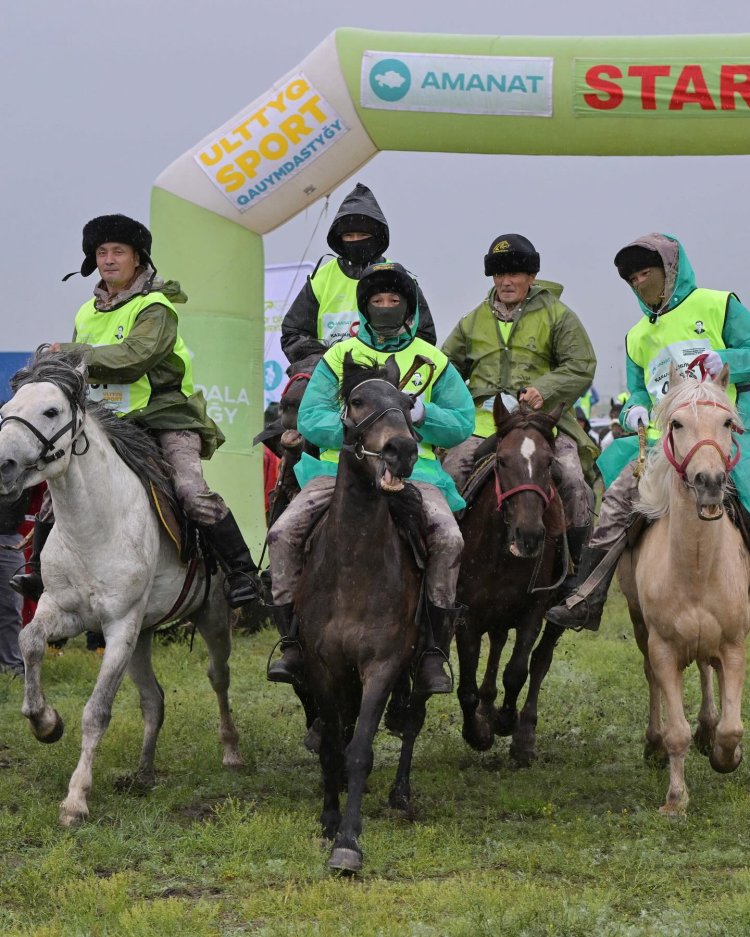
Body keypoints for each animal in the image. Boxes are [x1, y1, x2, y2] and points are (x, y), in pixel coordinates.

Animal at [0, 352, 244, 828]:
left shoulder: (119, 628)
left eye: (51, 411)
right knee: (154, 700)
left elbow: (96, 713)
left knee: (218, 678)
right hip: (144, 637)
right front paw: (46, 724)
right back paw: (143, 774)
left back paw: (230, 751)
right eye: (5, 410)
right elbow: (30, 641)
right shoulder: (65, 611)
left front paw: (75, 800)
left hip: (210, 617)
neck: (95, 525)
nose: (4, 466)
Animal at [296, 354, 432, 872]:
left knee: (412, 719)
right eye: (357, 401)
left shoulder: (383, 663)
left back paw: (400, 791)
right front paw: (329, 818)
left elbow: (358, 749)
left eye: (408, 404)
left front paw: (348, 841)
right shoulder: (323, 664)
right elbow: (334, 745)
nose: (402, 450)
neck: (354, 568)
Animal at [458, 394, 568, 768]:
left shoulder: (533, 609)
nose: (530, 535)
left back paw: (524, 735)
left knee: (540, 660)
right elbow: (466, 685)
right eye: (503, 461)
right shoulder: (466, 614)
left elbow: (518, 670)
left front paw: (506, 721)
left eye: (549, 462)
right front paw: (477, 732)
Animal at [616, 362, 750, 816]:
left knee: (710, 672)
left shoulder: (734, 643)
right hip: (641, 628)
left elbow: (732, 725)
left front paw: (726, 756)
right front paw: (675, 800)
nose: (709, 481)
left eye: (728, 423)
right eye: (676, 423)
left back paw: (707, 730)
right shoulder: (662, 647)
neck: (696, 569)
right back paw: (654, 744)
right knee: (653, 679)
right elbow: (677, 731)